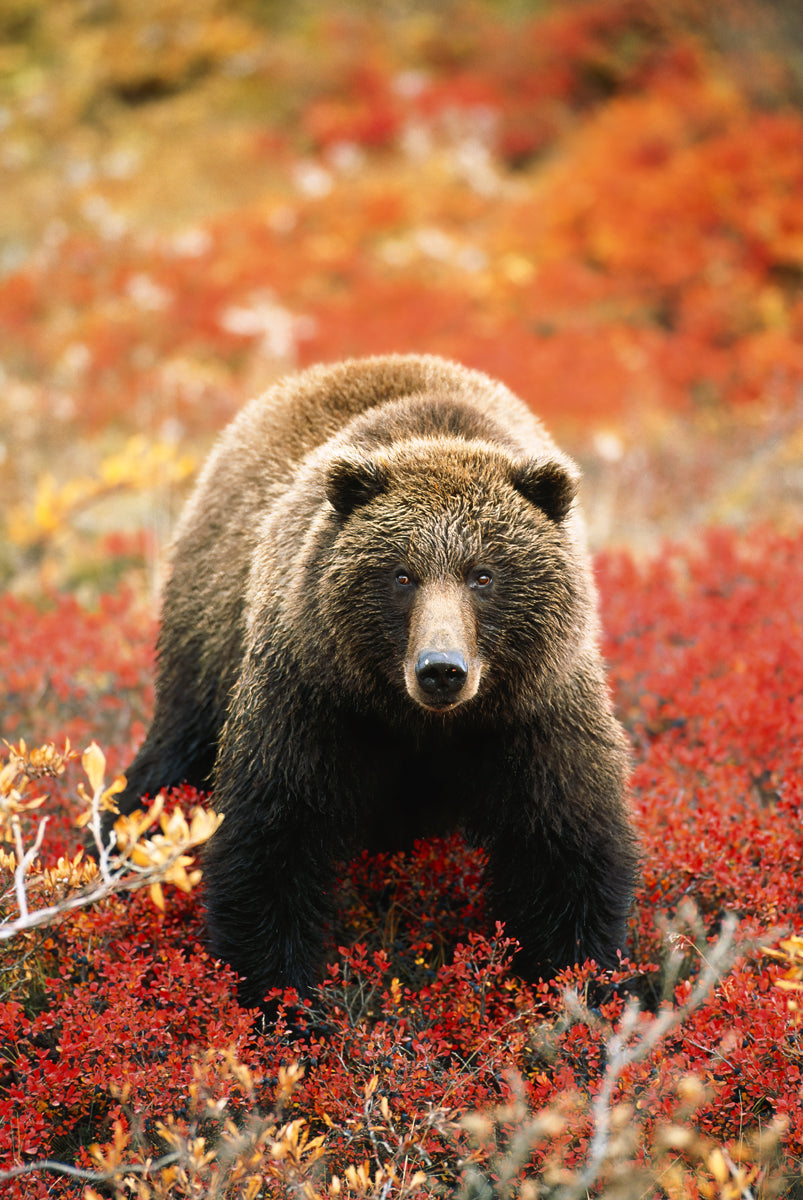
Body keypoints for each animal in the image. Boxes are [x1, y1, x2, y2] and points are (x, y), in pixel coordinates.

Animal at [110, 353, 637, 1008]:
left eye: (484, 574)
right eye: (401, 573)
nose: (441, 670)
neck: (421, 724)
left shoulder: (535, 712)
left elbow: (568, 849)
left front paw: (575, 988)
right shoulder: (314, 696)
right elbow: (271, 841)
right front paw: (284, 999)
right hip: (207, 643)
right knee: (168, 760)